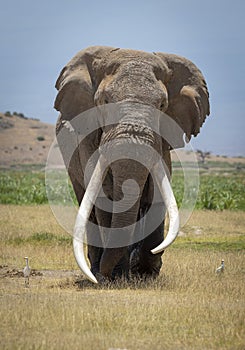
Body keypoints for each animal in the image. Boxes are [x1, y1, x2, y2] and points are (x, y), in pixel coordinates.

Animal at [54, 46, 211, 284]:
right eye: (104, 101)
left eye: (162, 105)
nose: (107, 275)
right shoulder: (88, 140)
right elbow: (105, 197)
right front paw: (115, 278)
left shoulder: (161, 143)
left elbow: (156, 194)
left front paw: (145, 272)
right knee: (87, 204)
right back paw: (97, 270)